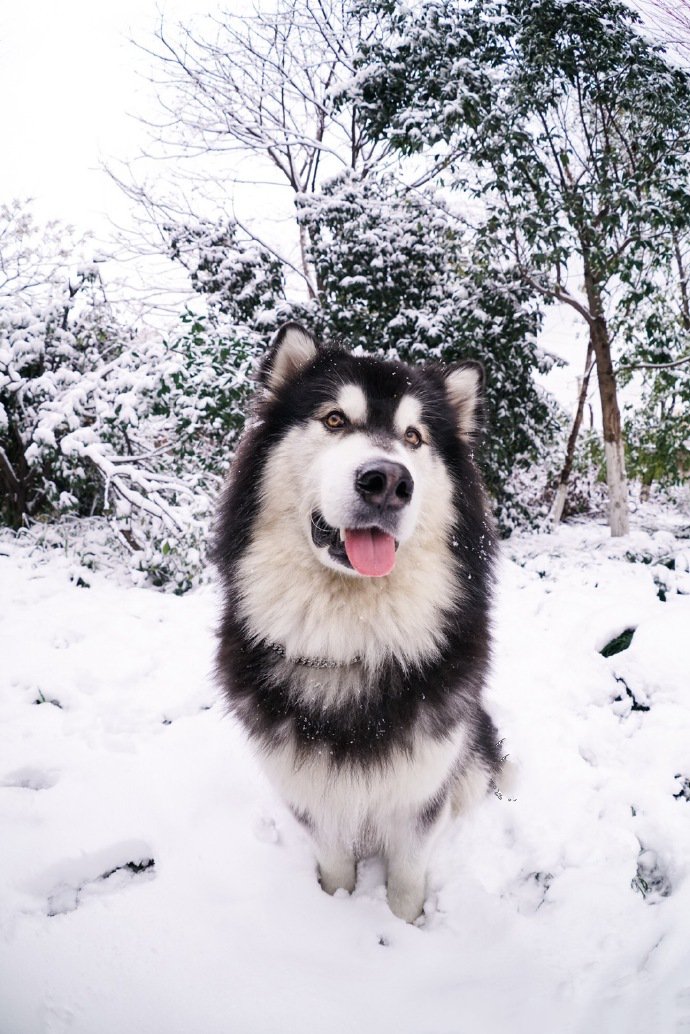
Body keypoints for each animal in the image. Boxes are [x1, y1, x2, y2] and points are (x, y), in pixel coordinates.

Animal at [213, 322, 504, 922]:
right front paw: (339, 908)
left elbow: (408, 879)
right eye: (333, 420)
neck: (354, 644)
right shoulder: (310, 792)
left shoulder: (422, 792)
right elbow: (335, 865)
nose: (388, 481)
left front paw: (404, 926)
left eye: (414, 437)